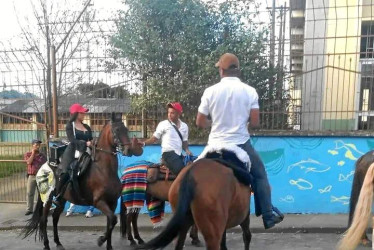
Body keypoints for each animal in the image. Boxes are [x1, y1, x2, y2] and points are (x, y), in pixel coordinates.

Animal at [21, 114, 142, 250]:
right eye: (116, 130)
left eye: (126, 129)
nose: (129, 150)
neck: (103, 170)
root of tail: (43, 166)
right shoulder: (99, 202)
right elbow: (113, 219)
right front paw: (100, 240)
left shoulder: (112, 202)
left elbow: (111, 222)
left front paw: (108, 245)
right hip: (47, 199)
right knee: (43, 220)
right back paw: (47, 245)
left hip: (62, 200)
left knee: (55, 218)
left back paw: (58, 242)